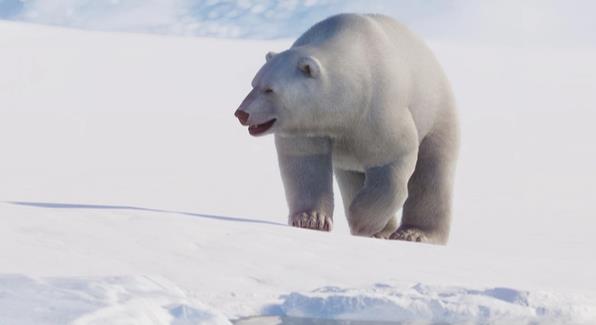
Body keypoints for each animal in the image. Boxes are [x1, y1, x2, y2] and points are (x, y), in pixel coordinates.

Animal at [235, 13, 458, 244]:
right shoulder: (308, 124)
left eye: (269, 89)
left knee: (432, 170)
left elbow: (392, 156)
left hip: (436, 110)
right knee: (352, 178)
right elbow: (305, 161)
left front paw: (362, 221)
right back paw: (384, 231)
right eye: (254, 83)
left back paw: (414, 233)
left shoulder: (378, 106)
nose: (241, 113)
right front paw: (311, 220)